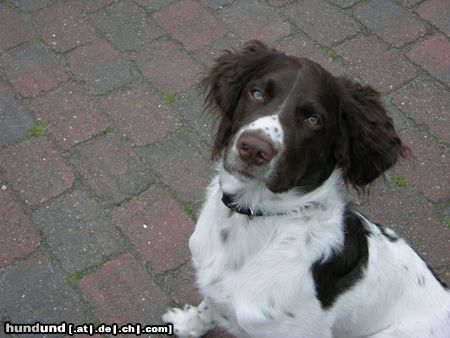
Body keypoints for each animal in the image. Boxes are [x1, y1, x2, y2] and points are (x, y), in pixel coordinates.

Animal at [163, 40, 450, 338]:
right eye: (256, 93)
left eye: (313, 119)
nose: (253, 149)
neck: (253, 217)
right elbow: (208, 304)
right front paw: (189, 324)